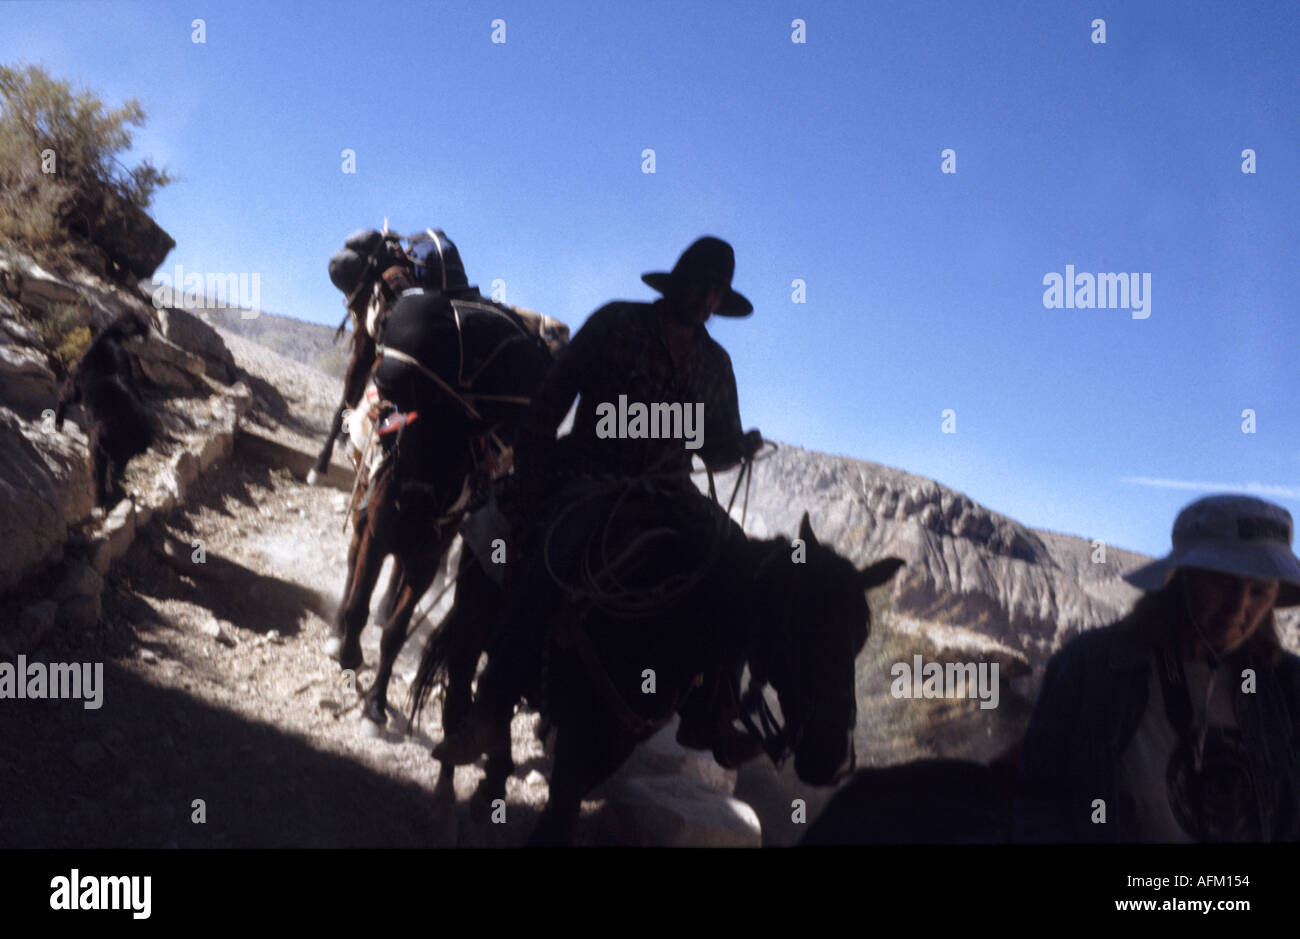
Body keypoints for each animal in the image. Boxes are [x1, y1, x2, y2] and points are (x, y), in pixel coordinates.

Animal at [56, 312, 154, 504]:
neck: (123, 417)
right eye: (118, 451)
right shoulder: (98, 449)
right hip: (77, 386)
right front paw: (100, 500)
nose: (117, 471)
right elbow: (97, 475)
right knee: (63, 397)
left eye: (129, 455)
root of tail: (108, 335)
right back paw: (59, 423)